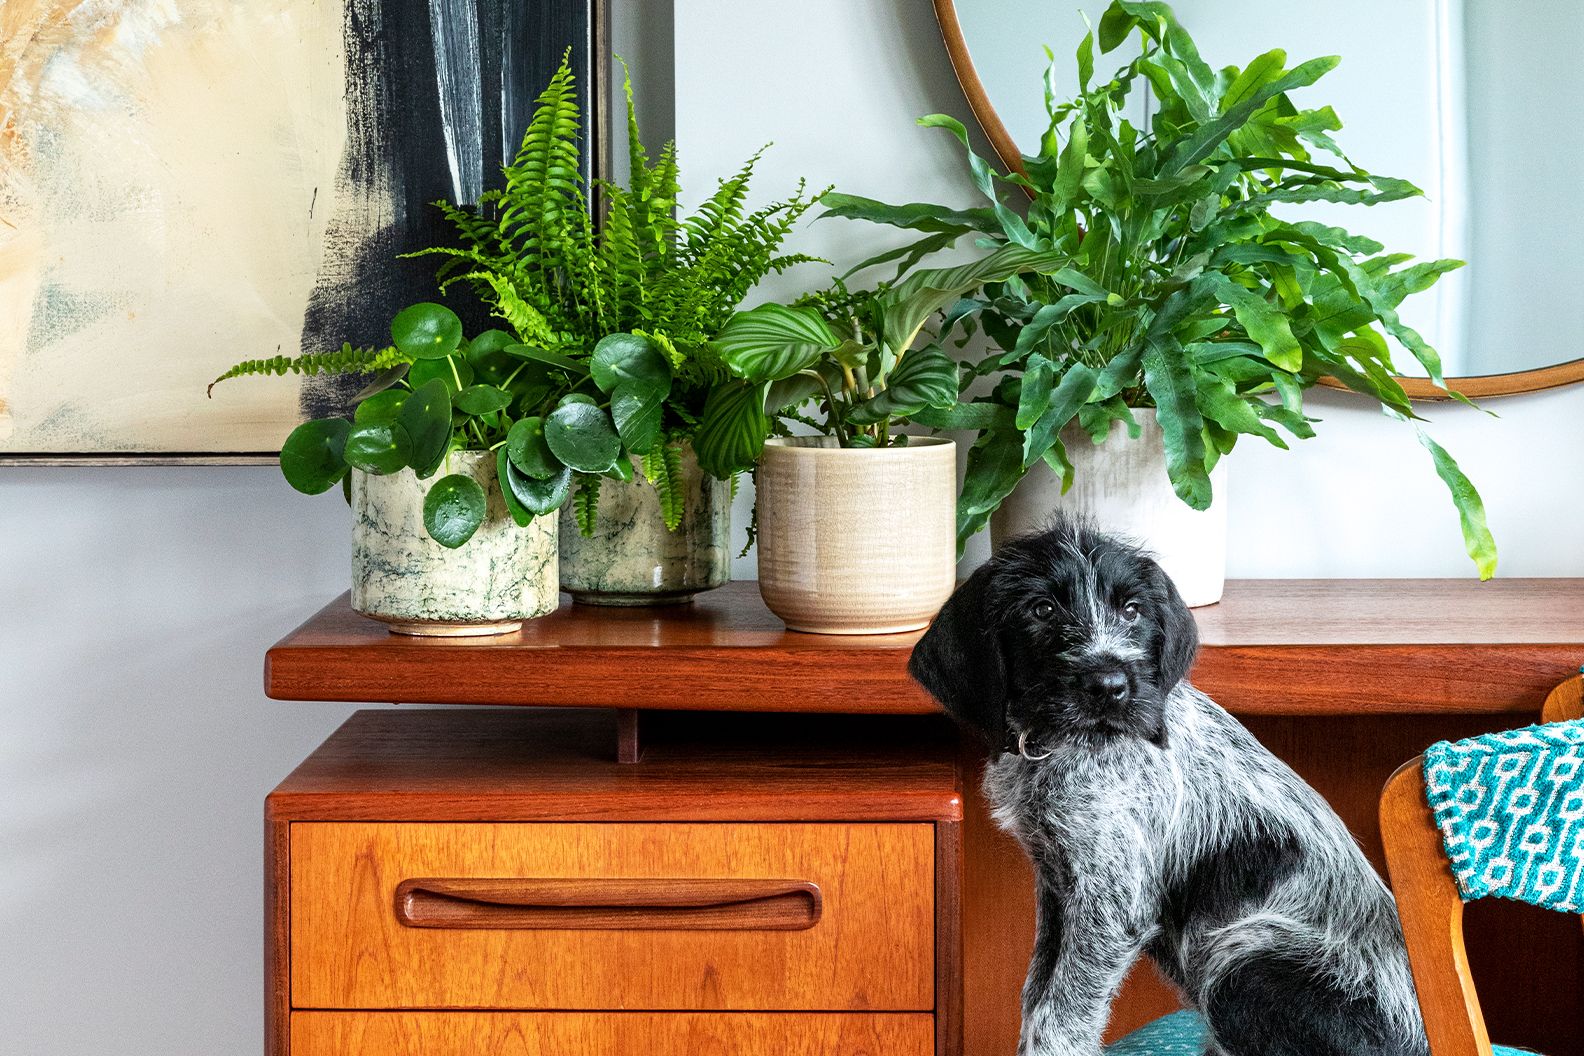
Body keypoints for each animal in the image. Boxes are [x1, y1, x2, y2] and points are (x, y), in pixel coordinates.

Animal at [912, 522, 1431, 1056]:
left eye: (1132, 610)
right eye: (1042, 610)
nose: (1109, 685)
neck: (1061, 743)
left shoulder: (1111, 904)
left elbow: (1059, 1019)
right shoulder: (1058, 886)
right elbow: (1036, 996)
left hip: (1244, 961)